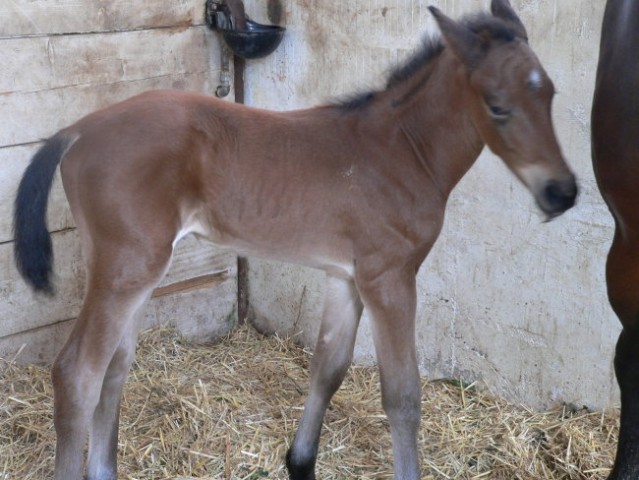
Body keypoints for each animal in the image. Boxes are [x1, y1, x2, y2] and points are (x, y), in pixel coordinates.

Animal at [12, 1, 576, 478]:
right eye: (497, 106)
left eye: (550, 92)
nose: (562, 192)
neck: (401, 151)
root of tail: (79, 129)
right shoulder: (389, 278)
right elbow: (402, 396)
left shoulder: (347, 277)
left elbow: (329, 366)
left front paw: (300, 462)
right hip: (129, 267)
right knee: (78, 374)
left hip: (126, 268)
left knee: (115, 366)